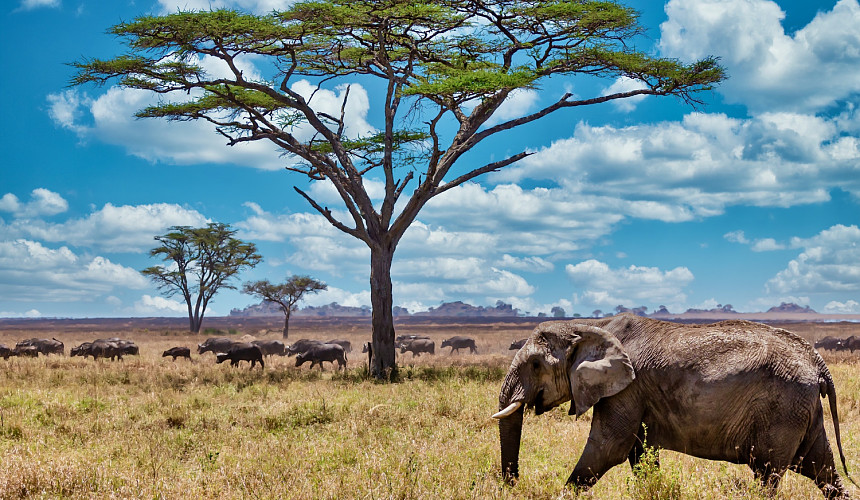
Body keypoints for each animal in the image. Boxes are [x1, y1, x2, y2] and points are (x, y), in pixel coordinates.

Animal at [494, 314, 848, 498]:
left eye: (536, 365)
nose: (512, 484)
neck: (590, 325)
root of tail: (817, 362)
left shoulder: (627, 388)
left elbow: (608, 448)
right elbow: (639, 454)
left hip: (783, 407)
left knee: (768, 473)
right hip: (801, 408)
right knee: (822, 468)